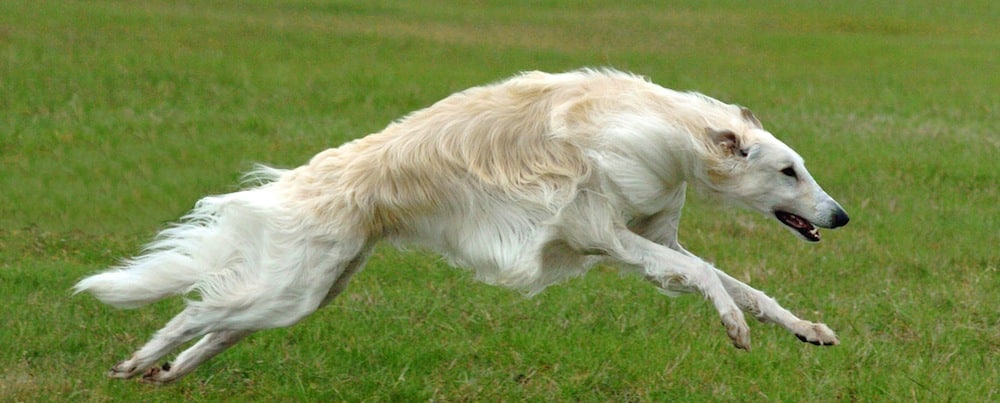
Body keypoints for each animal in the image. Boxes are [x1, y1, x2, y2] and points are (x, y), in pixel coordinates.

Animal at [74, 69, 848, 386]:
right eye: (789, 171)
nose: (840, 216)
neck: (664, 128)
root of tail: (300, 182)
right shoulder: (610, 235)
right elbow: (706, 277)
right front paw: (735, 328)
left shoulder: (655, 236)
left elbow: (743, 284)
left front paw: (807, 328)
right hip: (291, 288)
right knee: (195, 309)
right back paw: (140, 363)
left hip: (311, 289)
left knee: (215, 325)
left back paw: (165, 372)